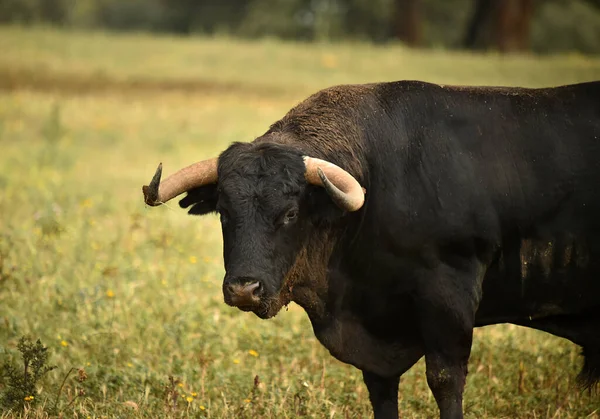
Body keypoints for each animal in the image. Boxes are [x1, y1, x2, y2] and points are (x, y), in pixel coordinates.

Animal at [142, 80, 600, 418]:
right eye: (223, 211)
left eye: (290, 213)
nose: (243, 289)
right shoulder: (375, 351)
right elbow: (381, 389)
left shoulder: (450, 298)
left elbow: (446, 381)